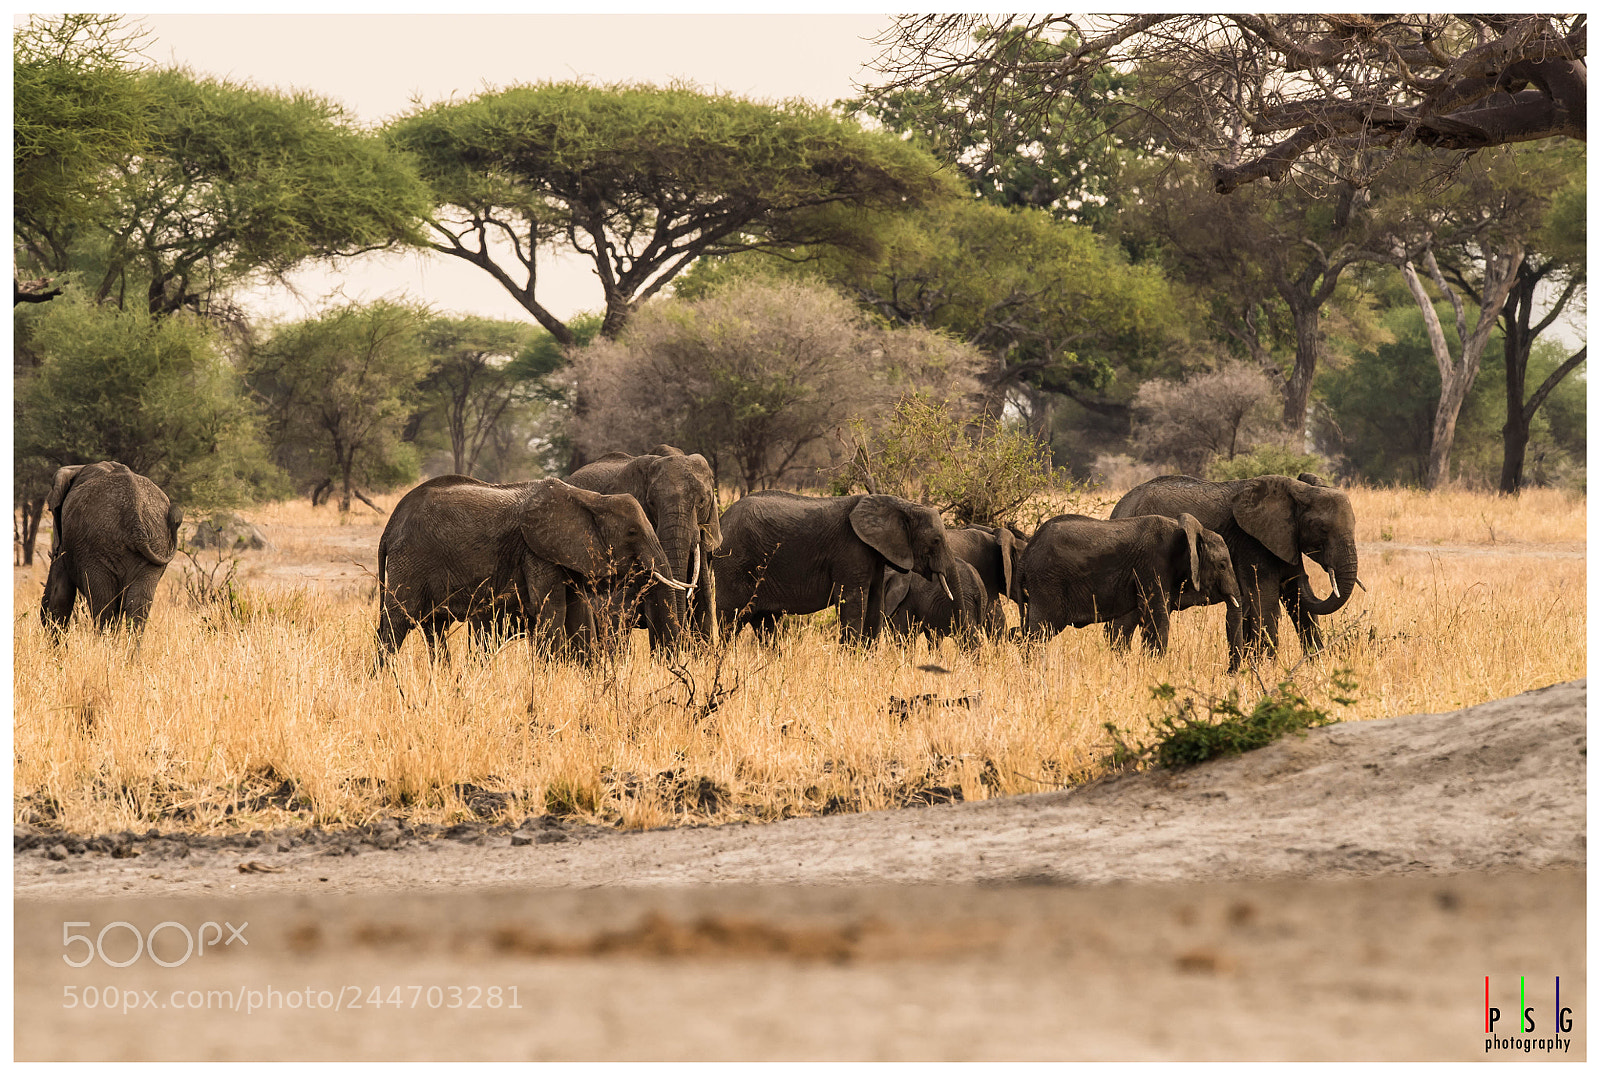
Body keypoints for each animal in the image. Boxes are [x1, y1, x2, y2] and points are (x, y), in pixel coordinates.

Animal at [40, 461, 182, 635]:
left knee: (104, 605)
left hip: (95, 549)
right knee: (137, 605)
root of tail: (135, 516)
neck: (77, 468)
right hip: (155, 541)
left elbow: (60, 592)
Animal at [375, 476, 690, 668]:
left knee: (434, 626)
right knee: (396, 622)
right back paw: (383, 680)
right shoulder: (535, 552)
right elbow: (551, 611)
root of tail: (389, 528)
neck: (590, 499)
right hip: (411, 560)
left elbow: (575, 614)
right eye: (632, 532)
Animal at [713, 491, 966, 643]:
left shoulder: (873, 554)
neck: (900, 504)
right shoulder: (850, 550)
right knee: (729, 619)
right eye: (936, 541)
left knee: (764, 624)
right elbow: (853, 600)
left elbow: (874, 601)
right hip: (733, 562)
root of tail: (721, 520)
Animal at [1017, 512, 1241, 654]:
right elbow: (1157, 617)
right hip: (1047, 583)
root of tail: (1027, 552)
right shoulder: (1153, 565)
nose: (1228, 673)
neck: (1189, 532)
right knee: (1039, 634)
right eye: (1222, 565)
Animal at [1109, 473, 1359, 670]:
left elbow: (1297, 597)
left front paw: (1317, 665)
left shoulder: (1285, 539)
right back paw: (1119, 663)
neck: (1299, 492)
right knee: (1126, 620)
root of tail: (1119, 507)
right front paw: (1268, 668)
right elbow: (1266, 600)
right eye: (1322, 529)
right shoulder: (1252, 543)